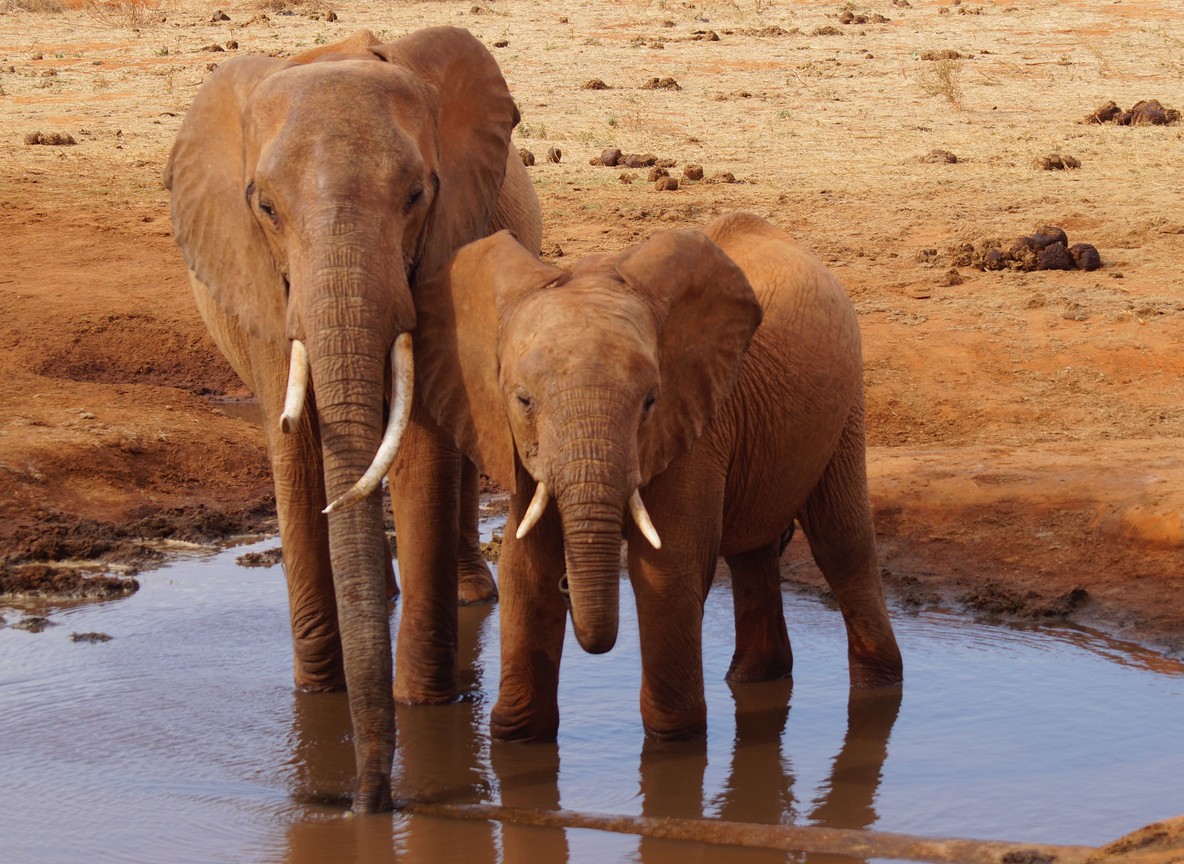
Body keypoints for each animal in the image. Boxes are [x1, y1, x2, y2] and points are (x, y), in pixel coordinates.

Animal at [163, 27, 541, 811]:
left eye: (418, 194)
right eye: (264, 207)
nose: (368, 802)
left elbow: (423, 444)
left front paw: (424, 708)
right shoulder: (263, 289)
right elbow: (296, 449)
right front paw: (317, 700)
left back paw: (469, 593)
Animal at [413, 211, 903, 742]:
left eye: (649, 401)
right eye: (523, 400)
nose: (570, 588)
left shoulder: (695, 421)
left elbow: (666, 571)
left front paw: (674, 741)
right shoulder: (516, 442)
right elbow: (526, 568)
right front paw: (518, 738)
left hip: (845, 396)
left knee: (841, 542)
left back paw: (879, 694)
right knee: (752, 553)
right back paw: (754, 679)